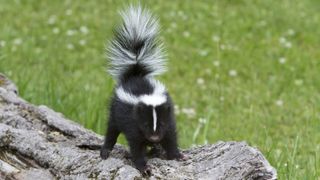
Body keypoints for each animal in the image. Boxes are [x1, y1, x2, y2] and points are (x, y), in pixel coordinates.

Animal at [100, 5, 185, 174]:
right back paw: (105, 150)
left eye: (161, 124)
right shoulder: (133, 123)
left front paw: (176, 155)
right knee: (111, 130)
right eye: (145, 124)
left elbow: (170, 137)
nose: (154, 138)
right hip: (115, 111)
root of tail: (135, 74)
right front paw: (143, 166)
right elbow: (136, 146)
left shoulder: (169, 118)